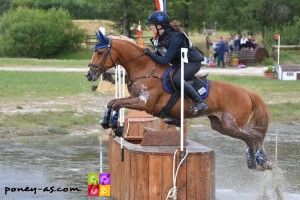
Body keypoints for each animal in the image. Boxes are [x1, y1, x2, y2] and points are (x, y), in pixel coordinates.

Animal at [85, 31, 272, 170]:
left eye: (100, 52)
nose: (89, 74)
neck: (144, 69)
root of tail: (247, 92)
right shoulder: (135, 99)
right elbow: (112, 102)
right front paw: (108, 122)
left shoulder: (145, 103)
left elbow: (117, 103)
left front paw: (115, 126)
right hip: (220, 125)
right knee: (250, 137)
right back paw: (255, 160)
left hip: (231, 123)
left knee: (255, 134)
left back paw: (261, 160)